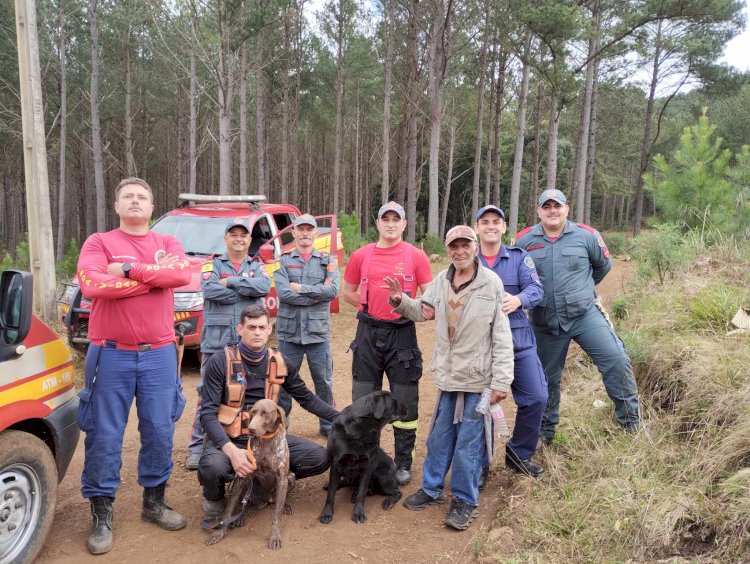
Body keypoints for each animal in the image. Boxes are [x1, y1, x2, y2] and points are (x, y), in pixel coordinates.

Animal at [318, 388, 408, 524]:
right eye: (395, 402)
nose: (408, 409)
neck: (361, 432)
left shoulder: (367, 467)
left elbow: (362, 493)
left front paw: (358, 514)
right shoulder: (335, 465)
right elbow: (331, 494)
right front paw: (326, 514)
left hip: (382, 475)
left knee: (397, 492)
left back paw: (387, 501)